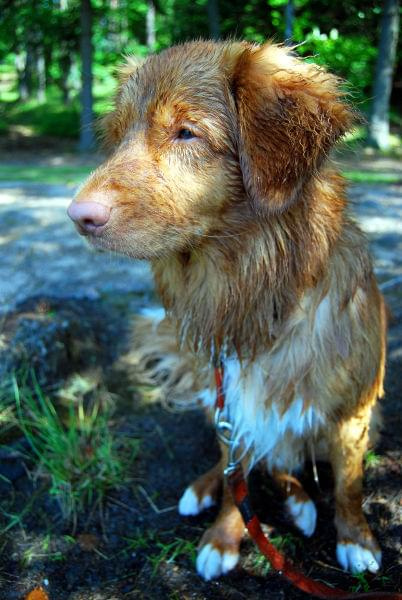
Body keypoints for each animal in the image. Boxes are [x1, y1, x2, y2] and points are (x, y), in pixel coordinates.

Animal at [67, 41, 388, 580]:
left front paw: (356, 538)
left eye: (186, 132)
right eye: (120, 135)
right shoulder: (232, 402)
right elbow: (236, 480)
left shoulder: (353, 411)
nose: (77, 217)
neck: (253, 290)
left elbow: (348, 484)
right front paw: (223, 536)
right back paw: (211, 489)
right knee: (248, 464)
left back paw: (300, 503)